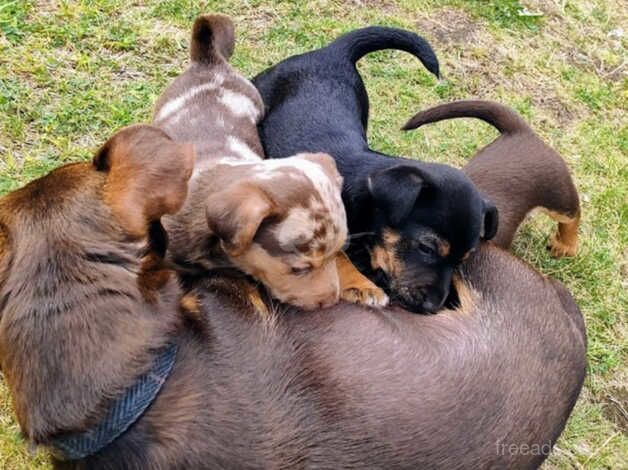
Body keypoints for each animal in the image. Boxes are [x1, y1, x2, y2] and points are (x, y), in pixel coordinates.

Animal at [253, 25, 498, 312]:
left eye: (461, 260)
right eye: (426, 248)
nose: (432, 307)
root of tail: (334, 52)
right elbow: (337, 256)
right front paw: (362, 285)